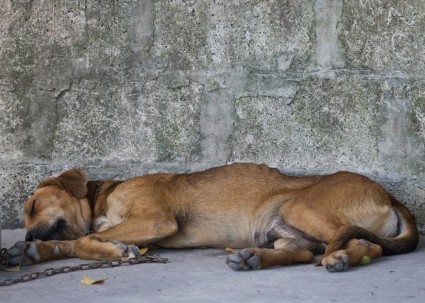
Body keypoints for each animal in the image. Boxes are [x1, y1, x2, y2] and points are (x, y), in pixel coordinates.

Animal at [6, 164, 418, 274]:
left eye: (32, 207)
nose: (26, 238)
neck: (100, 200)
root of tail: (389, 195)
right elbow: (71, 241)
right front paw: (32, 253)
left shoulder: (156, 220)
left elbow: (80, 241)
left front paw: (113, 251)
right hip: (281, 226)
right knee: (303, 253)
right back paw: (252, 259)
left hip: (301, 208)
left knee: (363, 244)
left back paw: (344, 257)